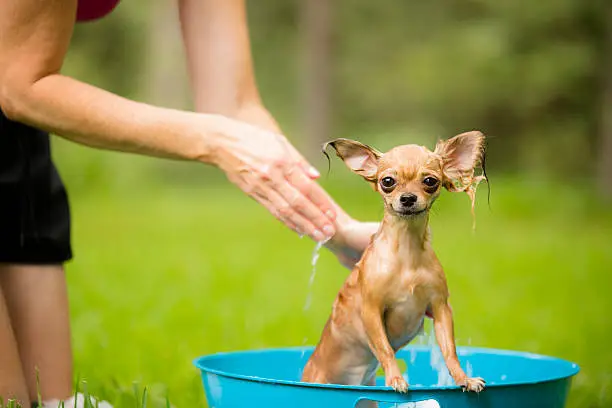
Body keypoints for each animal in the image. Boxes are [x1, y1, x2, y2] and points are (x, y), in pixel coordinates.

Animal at [302, 131, 488, 396]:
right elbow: (385, 349)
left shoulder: (440, 307)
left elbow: (450, 351)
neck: (406, 254)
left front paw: (464, 378)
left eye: (430, 181)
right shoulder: (371, 311)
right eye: (387, 181)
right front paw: (396, 379)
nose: (408, 198)